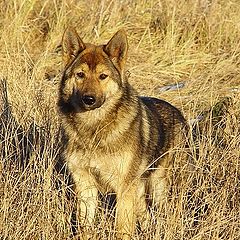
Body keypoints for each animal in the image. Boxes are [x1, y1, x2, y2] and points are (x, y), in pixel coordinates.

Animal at [57, 27, 188, 238]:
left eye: (103, 76)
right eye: (80, 74)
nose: (88, 99)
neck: (94, 127)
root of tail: (179, 113)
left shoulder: (123, 189)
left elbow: (123, 229)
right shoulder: (86, 186)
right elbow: (85, 226)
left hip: (159, 187)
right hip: (140, 191)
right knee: (145, 216)